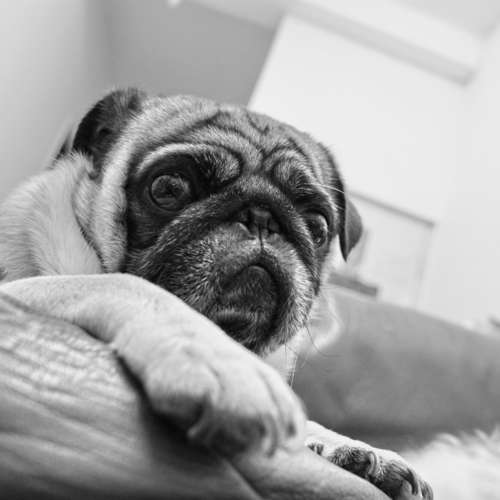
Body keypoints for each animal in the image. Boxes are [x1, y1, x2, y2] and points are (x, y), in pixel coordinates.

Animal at [0, 89, 432, 499]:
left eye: (318, 225)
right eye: (167, 188)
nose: (261, 217)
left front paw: (344, 444)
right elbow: (125, 284)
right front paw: (219, 360)